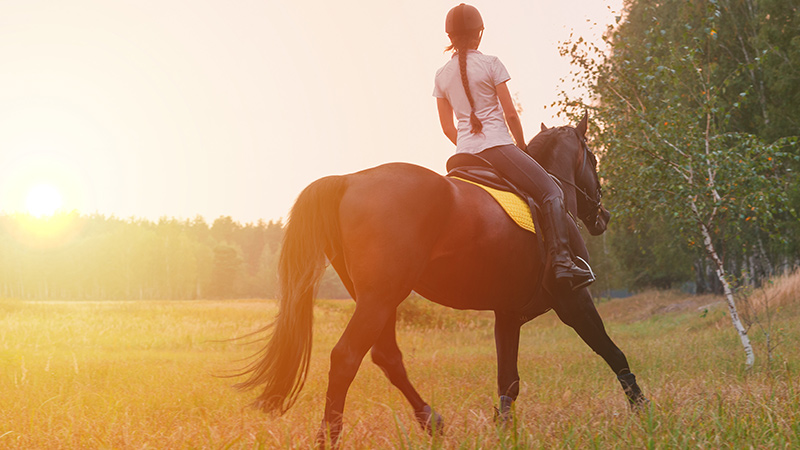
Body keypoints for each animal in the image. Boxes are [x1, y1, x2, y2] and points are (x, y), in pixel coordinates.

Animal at [234, 113, 648, 446]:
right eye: (593, 158)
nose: (603, 216)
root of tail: (348, 180)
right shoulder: (573, 301)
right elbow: (613, 352)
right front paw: (644, 411)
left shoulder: (507, 314)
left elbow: (508, 379)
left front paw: (502, 431)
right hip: (381, 297)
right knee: (347, 357)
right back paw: (330, 436)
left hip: (377, 298)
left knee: (386, 357)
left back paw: (431, 421)